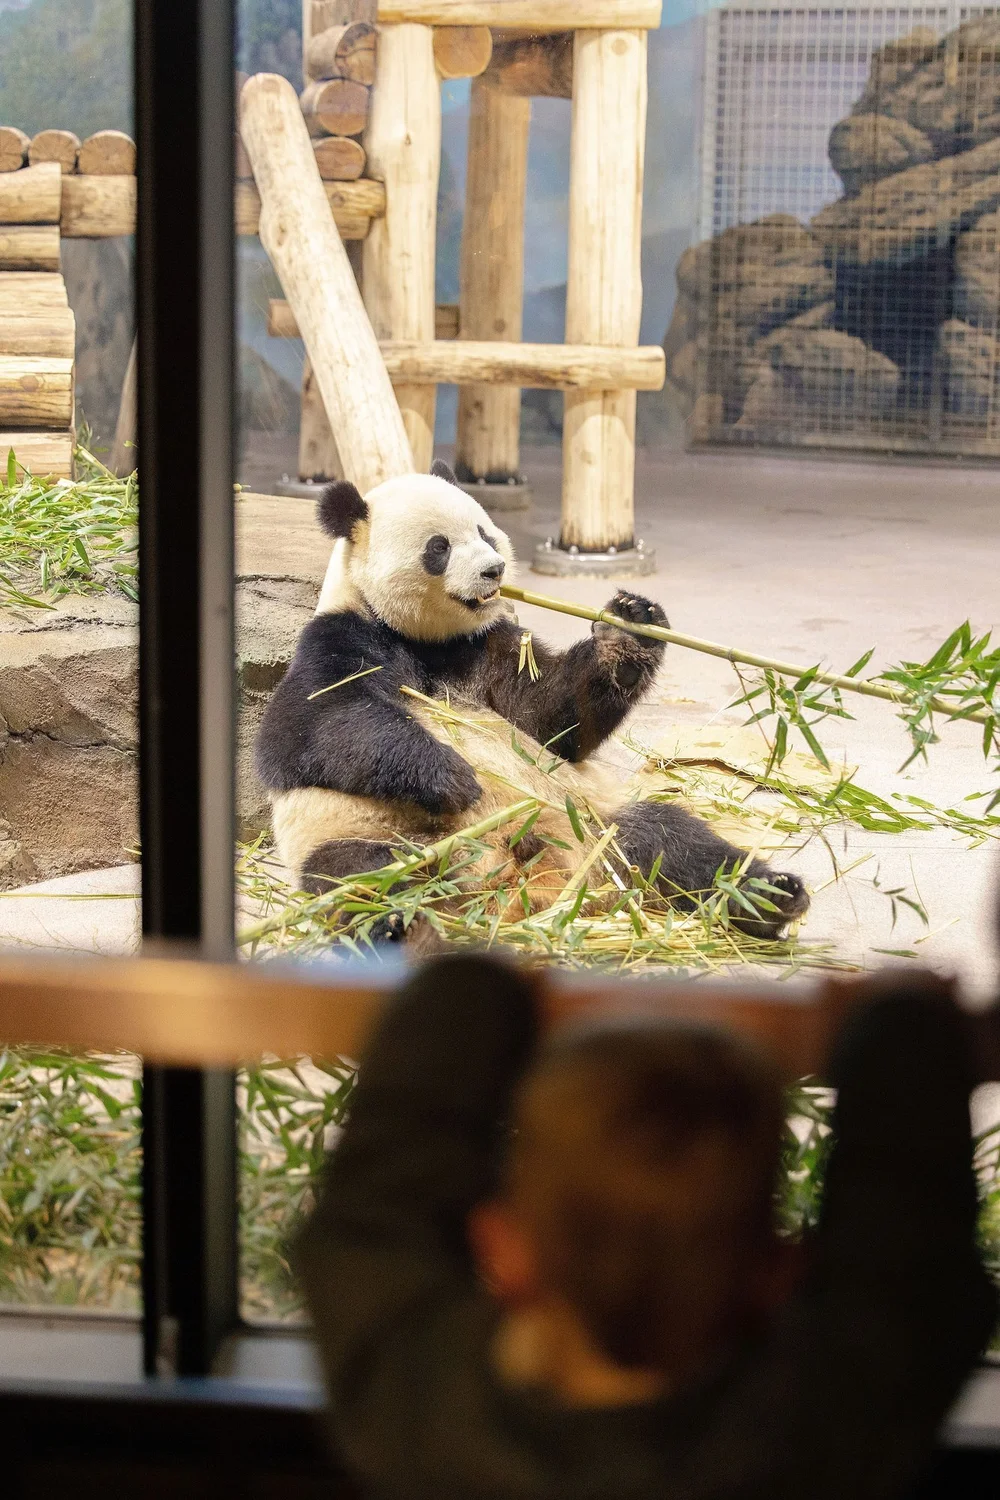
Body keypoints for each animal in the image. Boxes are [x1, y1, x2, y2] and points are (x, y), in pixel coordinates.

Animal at [254, 460, 809, 943]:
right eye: (439, 547)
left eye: (484, 532)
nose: (494, 569)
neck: (426, 640)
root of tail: (528, 889)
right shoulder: (344, 635)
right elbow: (312, 724)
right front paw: (451, 777)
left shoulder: (487, 647)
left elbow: (552, 721)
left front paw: (631, 629)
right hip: (370, 835)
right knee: (364, 879)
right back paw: (400, 925)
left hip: (589, 824)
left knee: (671, 841)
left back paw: (770, 897)